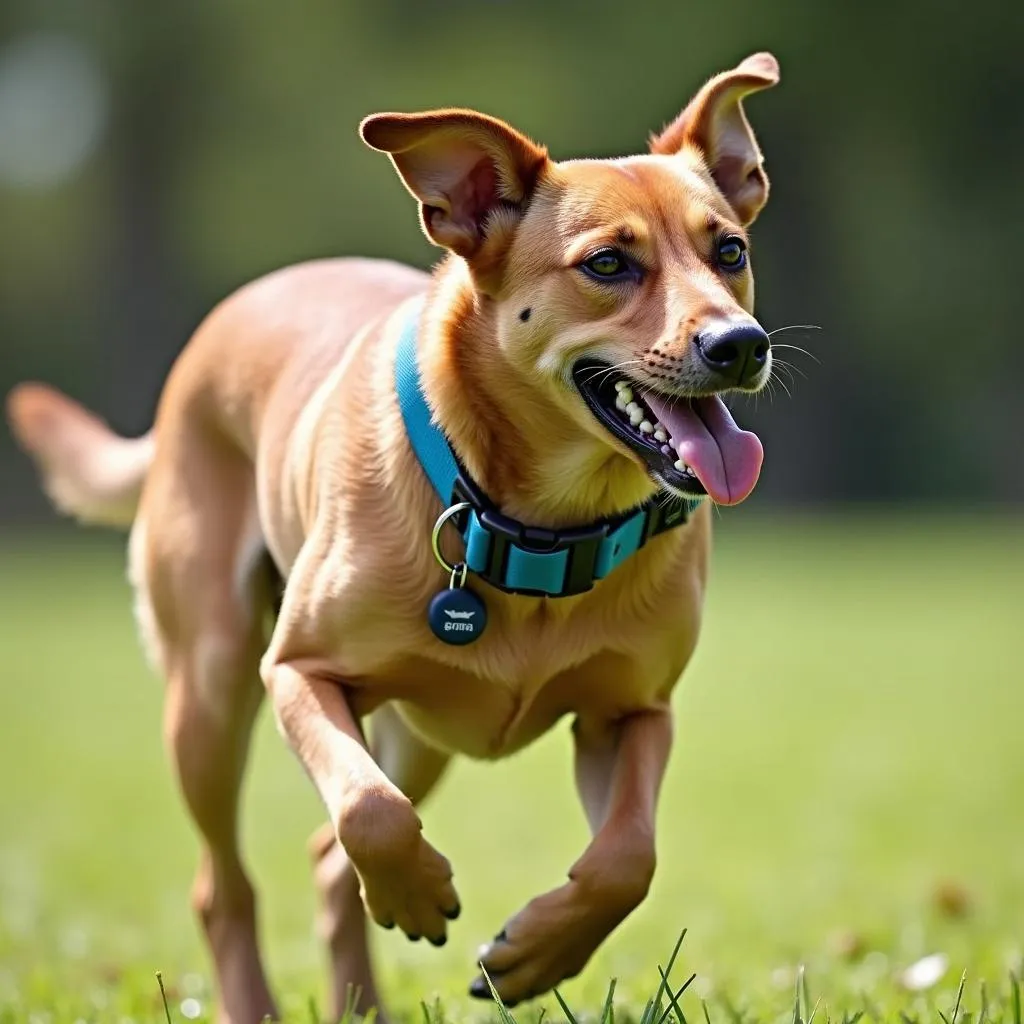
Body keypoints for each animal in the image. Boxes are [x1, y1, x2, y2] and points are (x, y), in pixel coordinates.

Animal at [6, 54, 774, 1024]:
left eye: (729, 251)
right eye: (607, 262)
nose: (741, 344)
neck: (545, 524)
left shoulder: (632, 711)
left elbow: (627, 859)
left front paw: (534, 954)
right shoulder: (298, 672)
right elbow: (369, 811)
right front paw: (415, 893)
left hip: (420, 733)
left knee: (328, 861)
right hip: (213, 689)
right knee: (228, 883)